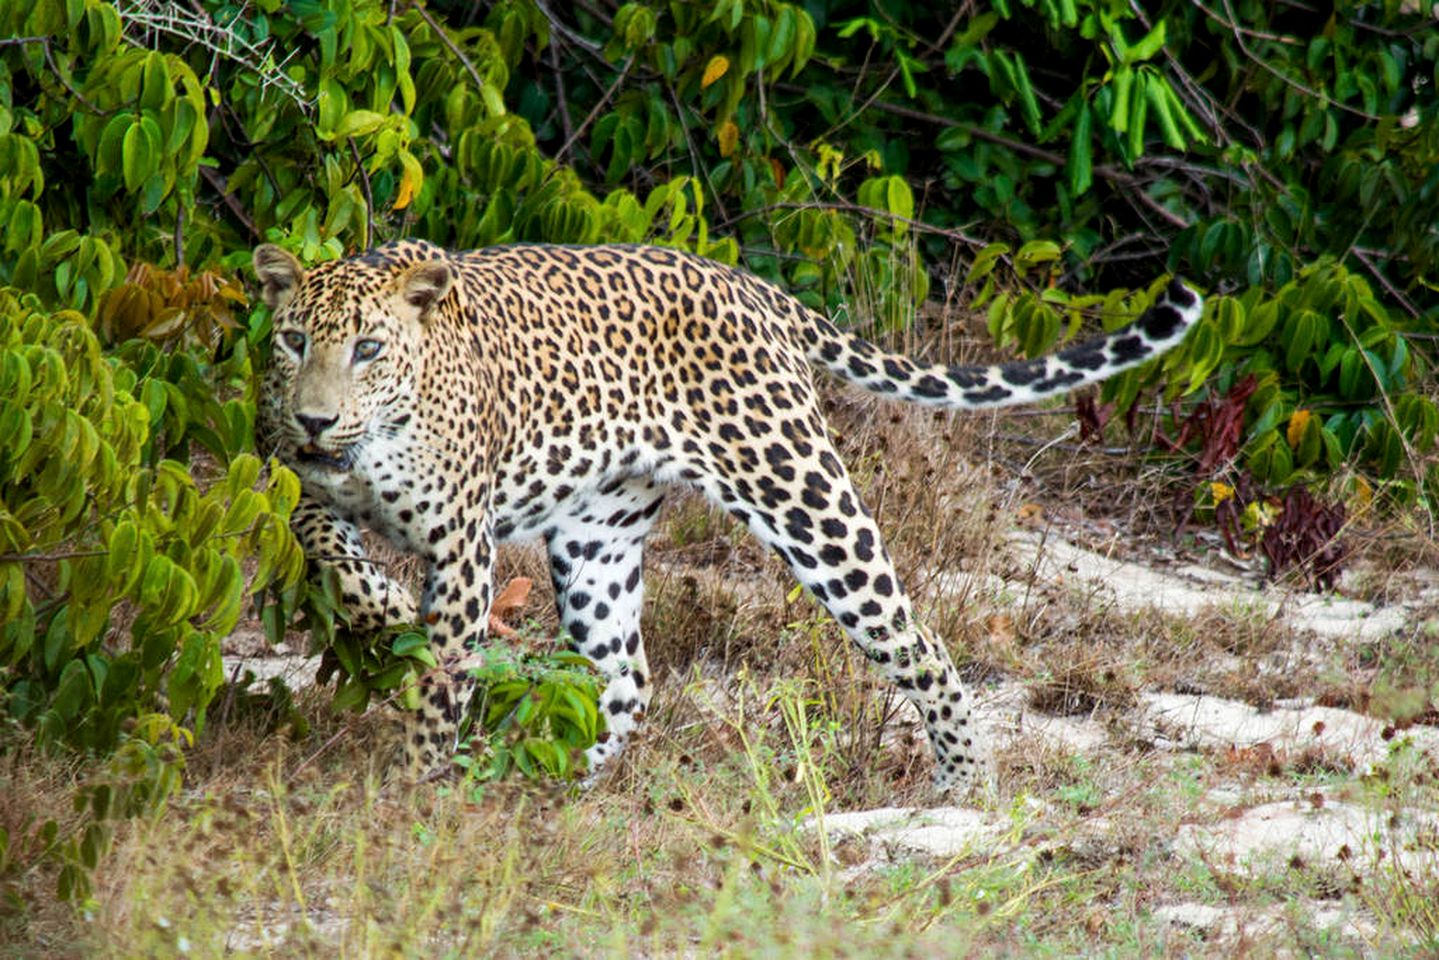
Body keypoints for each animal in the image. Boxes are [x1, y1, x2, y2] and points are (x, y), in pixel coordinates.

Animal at [250, 236, 1203, 794]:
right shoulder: (291, 481)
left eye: (368, 348)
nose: (316, 419)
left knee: (917, 639)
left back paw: (965, 789)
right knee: (625, 675)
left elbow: (445, 670)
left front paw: (416, 785)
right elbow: (321, 541)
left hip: (803, 496)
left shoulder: (462, 542)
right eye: (293, 341)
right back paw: (553, 773)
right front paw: (380, 611)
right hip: (596, 538)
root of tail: (753, 286)